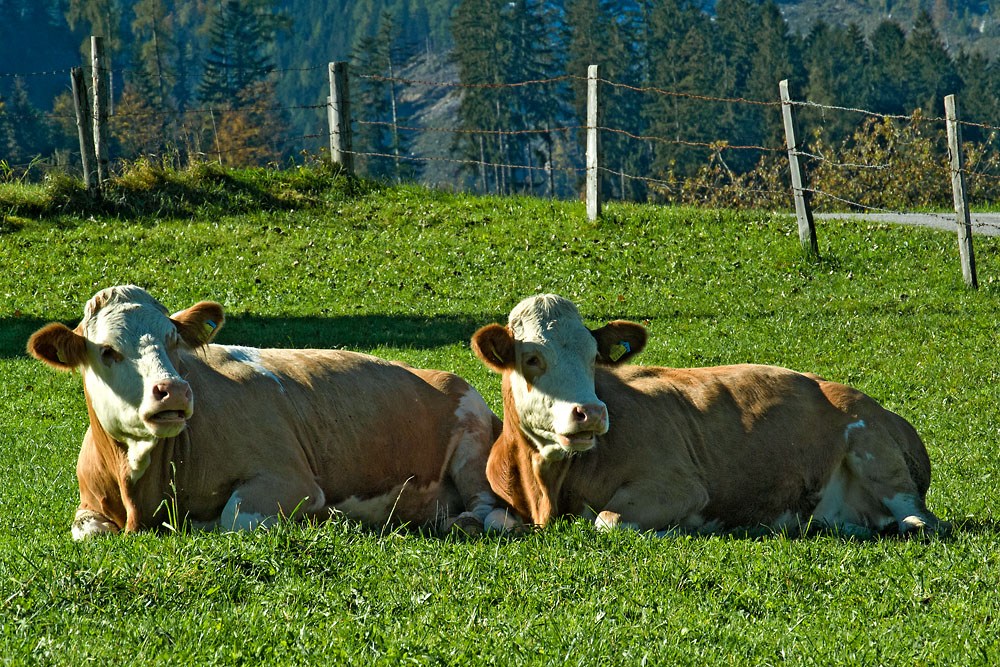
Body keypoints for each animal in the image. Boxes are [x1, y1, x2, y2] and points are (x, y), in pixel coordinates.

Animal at [28, 285, 514, 540]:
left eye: (173, 341)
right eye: (107, 351)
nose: (174, 391)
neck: (140, 490)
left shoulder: (289, 480)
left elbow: (232, 519)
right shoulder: (89, 505)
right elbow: (87, 531)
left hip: (473, 441)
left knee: (490, 510)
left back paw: (468, 521)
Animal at [470, 293, 948, 537]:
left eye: (593, 357)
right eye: (532, 358)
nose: (590, 413)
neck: (545, 491)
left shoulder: (679, 487)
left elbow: (608, 521)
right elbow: (495, 521)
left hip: (875, 451)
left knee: (922, 521)